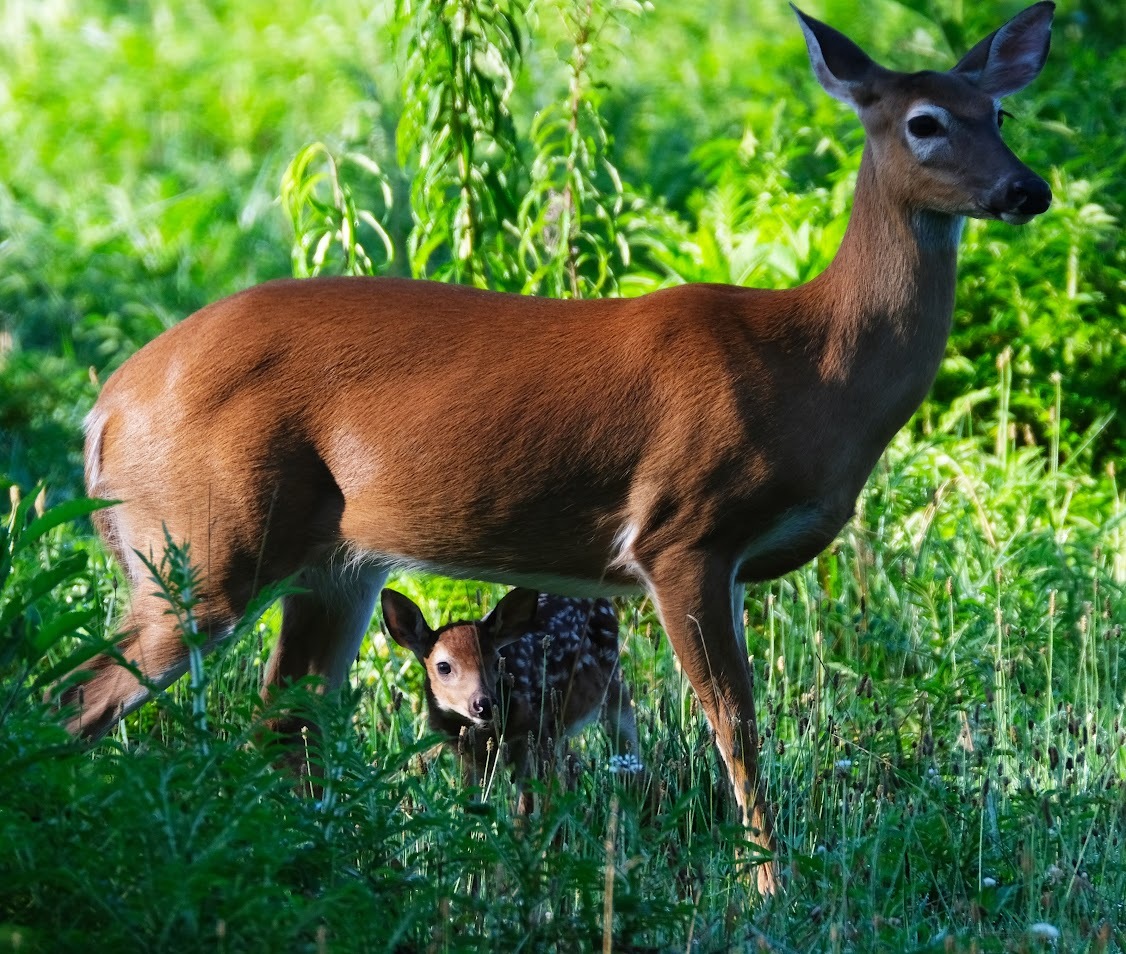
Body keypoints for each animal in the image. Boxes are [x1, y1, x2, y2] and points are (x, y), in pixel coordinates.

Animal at [380, 587, 641, 808]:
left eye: (497, 661)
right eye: (443, 666)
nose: (484, 704)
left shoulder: (532, 736)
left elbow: (526, 807)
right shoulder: (469, 756)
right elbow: (471, 804)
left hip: (612, 686)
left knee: (628, 744)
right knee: (572, 762)